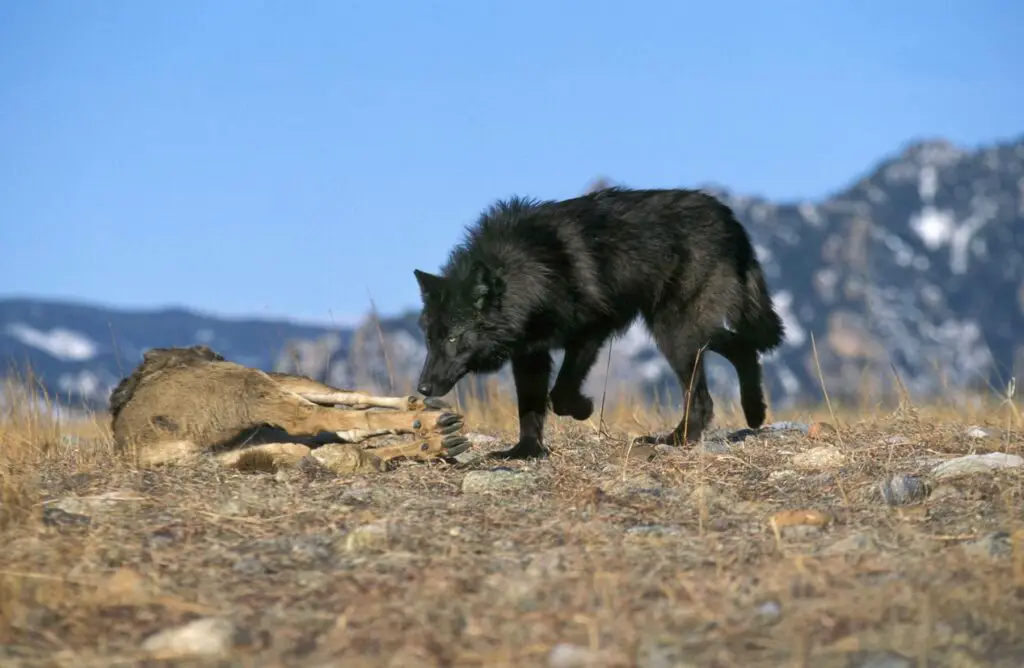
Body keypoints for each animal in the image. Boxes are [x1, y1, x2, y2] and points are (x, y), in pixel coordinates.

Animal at [411, 186, 778, 458]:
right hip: (680, 329)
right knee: (740, 347)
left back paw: (674, 439)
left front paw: (583, 409)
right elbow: (530, 406)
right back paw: (754, 412)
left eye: (454, 338)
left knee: (705, 395)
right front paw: (525, 451)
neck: (528, 273)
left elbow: (559, 394)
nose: (422, 388)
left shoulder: (592, 331)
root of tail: (728, 216)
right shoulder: (529, 353)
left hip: (673, 333)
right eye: (430, 339)